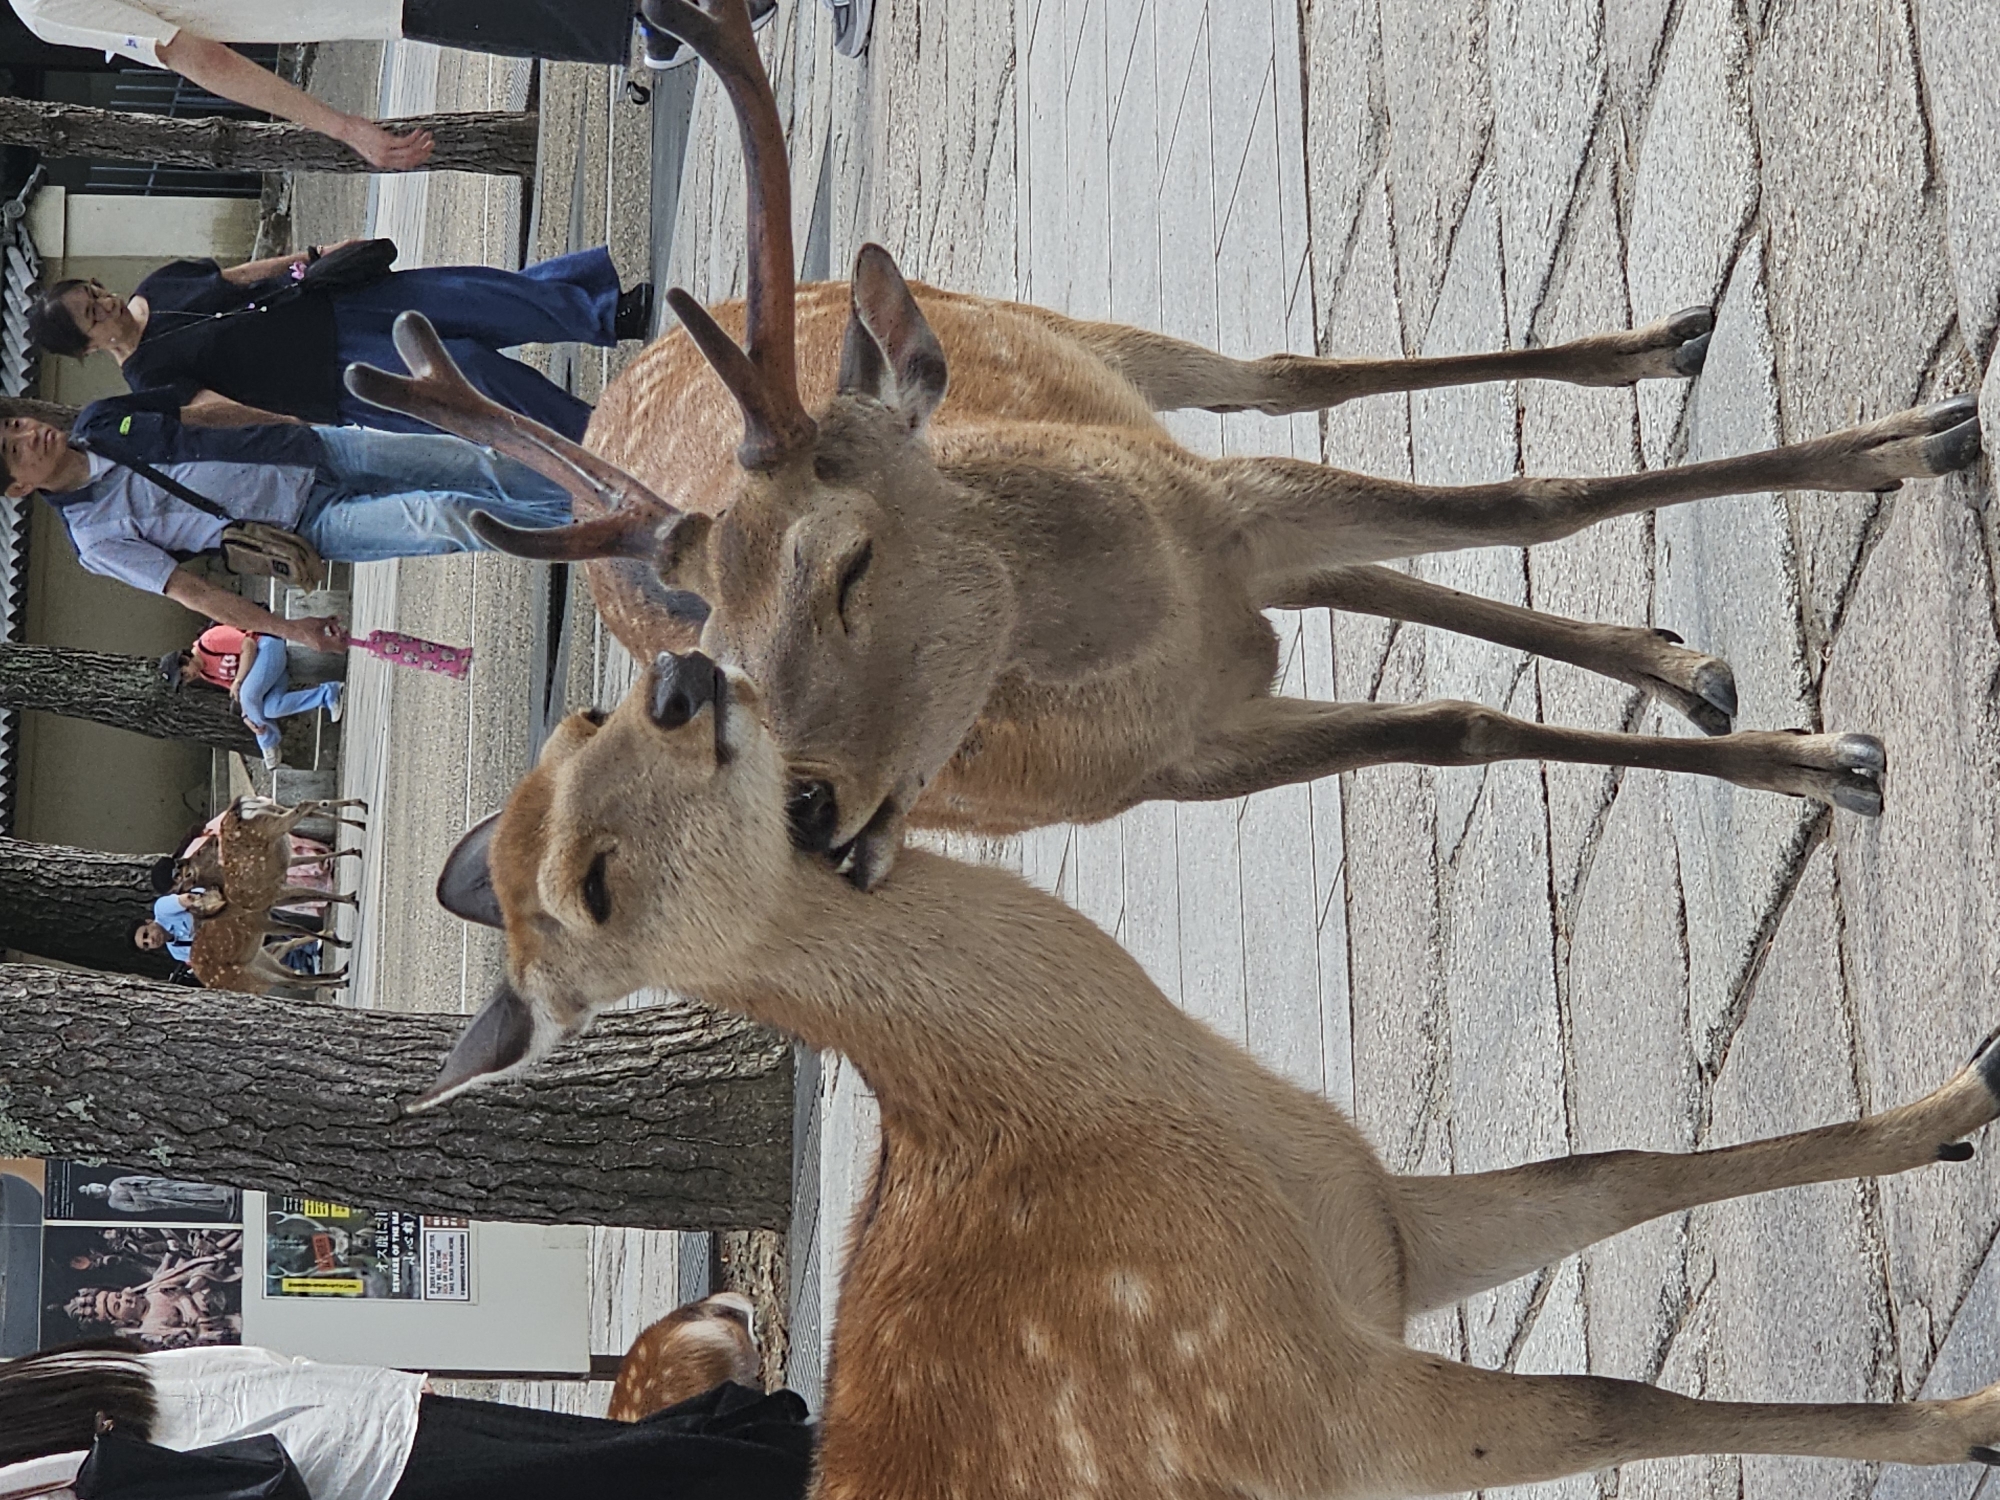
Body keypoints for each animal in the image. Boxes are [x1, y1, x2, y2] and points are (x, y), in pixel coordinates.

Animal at [347, 0, 1982, 891]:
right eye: (713, 652)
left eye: (851, 562)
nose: (807, 812)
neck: (1137, 637)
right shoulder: (1192, 760)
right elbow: (1458, 723)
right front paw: (1808, 754)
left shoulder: (1248, 514)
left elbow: (1536, 495)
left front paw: (1908, 446)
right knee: (1352, 580)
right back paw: (1680, 658)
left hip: (1114, 357)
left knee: (1281, 378)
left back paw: (1661, 354)